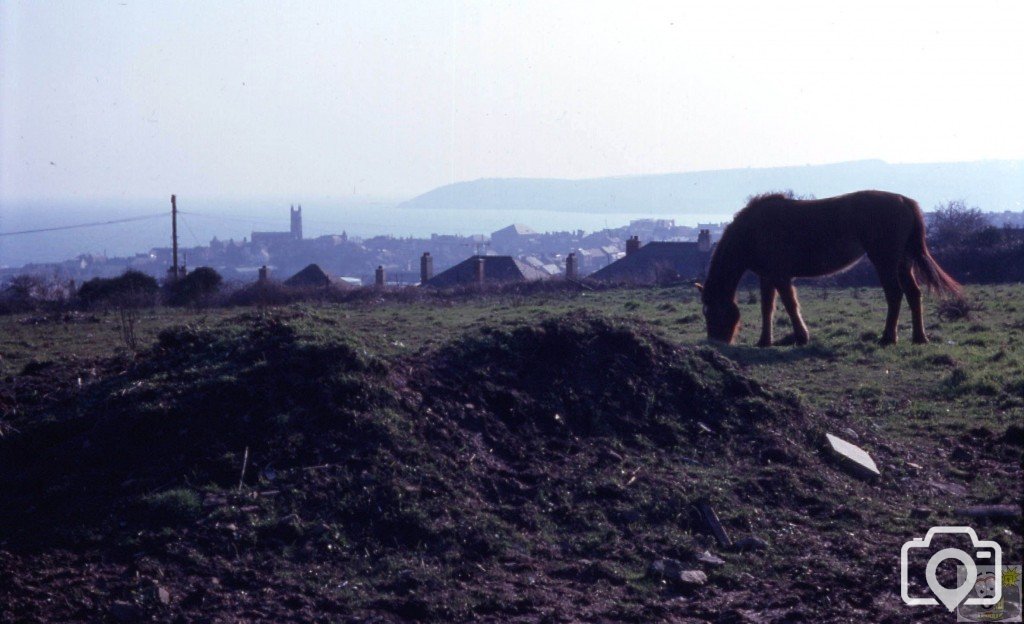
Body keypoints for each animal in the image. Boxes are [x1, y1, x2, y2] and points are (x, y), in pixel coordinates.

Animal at [696, 189, 958, 346]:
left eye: (711, 311)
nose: (716, 341)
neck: (753, 231)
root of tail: (903, 200)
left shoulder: (780, 276)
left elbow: (790, 305)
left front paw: (801, 337)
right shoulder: (767, 277)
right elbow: (767, 308)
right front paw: (764, 341)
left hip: (885, 260)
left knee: (895, 294)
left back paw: (887, 337)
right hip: (903, 262)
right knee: (913, 294)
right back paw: (919, 337)